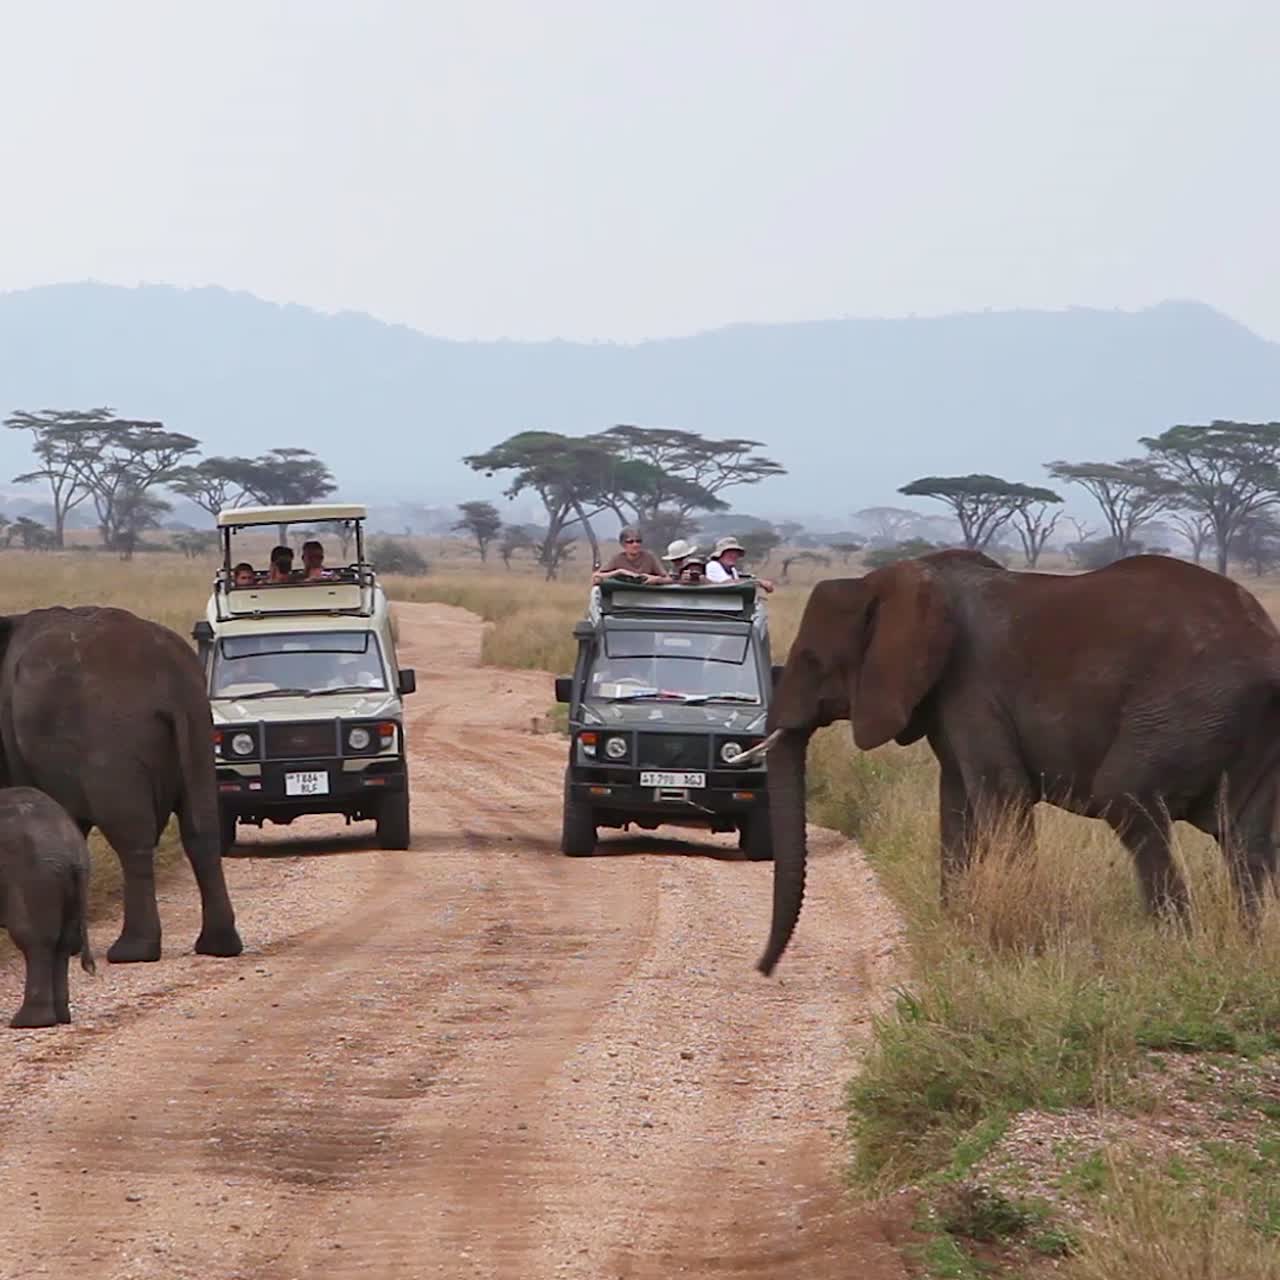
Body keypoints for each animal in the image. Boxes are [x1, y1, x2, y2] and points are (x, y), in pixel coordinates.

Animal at [0, 605, 243, 964]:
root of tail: (172, 675)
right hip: (199, 727)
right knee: (202, 828)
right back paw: (220, 946)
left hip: (111, 741)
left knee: (132, 838)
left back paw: (133, 951)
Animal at [754, 549, 1280, 976]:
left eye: (813, 660)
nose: (764, 968)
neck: (891, 581)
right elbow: (956, 803)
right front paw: (958, 924)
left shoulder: (972, 685)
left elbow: (1002, 795)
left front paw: (1012, 938)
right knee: (1248, 839)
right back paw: (1252, 948)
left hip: (1192, 708)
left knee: (1127, 796)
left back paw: (1172, 949)